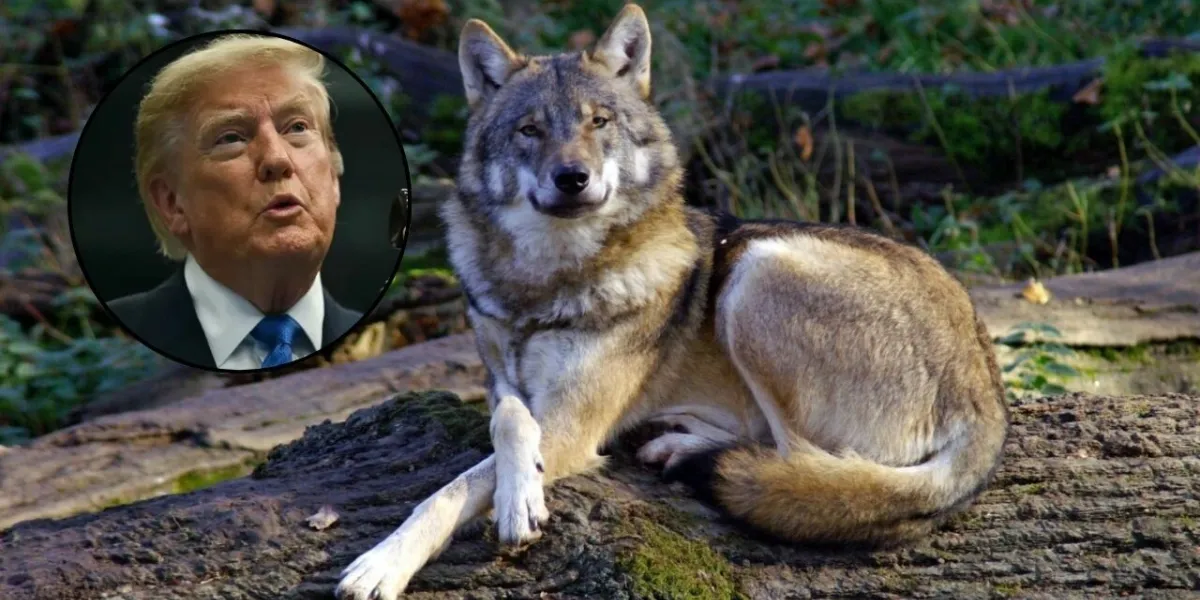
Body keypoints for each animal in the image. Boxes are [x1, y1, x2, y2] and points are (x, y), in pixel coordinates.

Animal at [336, 4, 1009, 598]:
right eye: (530, 131)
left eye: (599, 122)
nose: (572, 178)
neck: (547, 281)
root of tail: (988, 390)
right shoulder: (506, 387)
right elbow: (508, 420)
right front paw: (512, 491)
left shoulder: (574, 426)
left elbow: (455, 486)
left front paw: (396, 557)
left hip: (757, 271)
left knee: (800, 463)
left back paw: (690, 450)